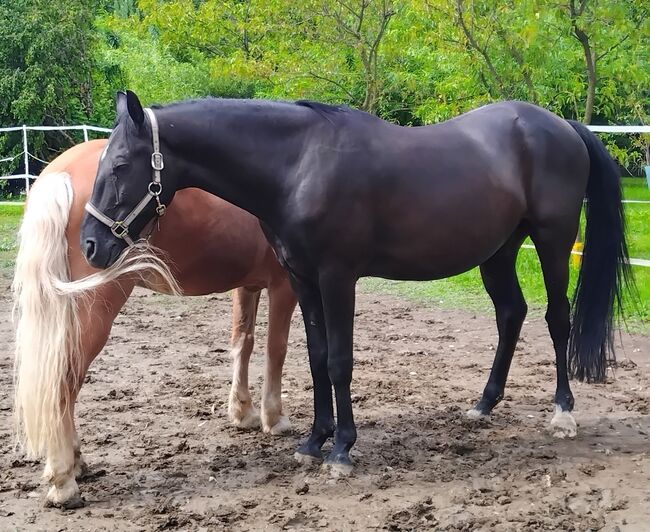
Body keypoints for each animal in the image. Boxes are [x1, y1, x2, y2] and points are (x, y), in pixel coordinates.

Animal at [12, 139, 296, 510]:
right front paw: (274, 419)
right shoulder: (285, 285)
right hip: (95, 308)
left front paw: (242, 412)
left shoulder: (248, 285)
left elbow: (242, 343)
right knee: (63, 382)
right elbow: (276, 350)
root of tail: (60, 174)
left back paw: (76, 464)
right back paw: (64, 482)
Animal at [79, 92, 628, 478]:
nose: (89, 245)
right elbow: (317, 358)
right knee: (511, 315)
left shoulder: (337, 278)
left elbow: (340, 361)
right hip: (498, 253)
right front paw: (312, 443)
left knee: (557, 320)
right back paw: (483, 405)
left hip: (554, 243)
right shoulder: (303, 280)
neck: (299, 166)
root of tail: (561, 126)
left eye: (121, 165)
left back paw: (563, 412)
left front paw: (342, 448)